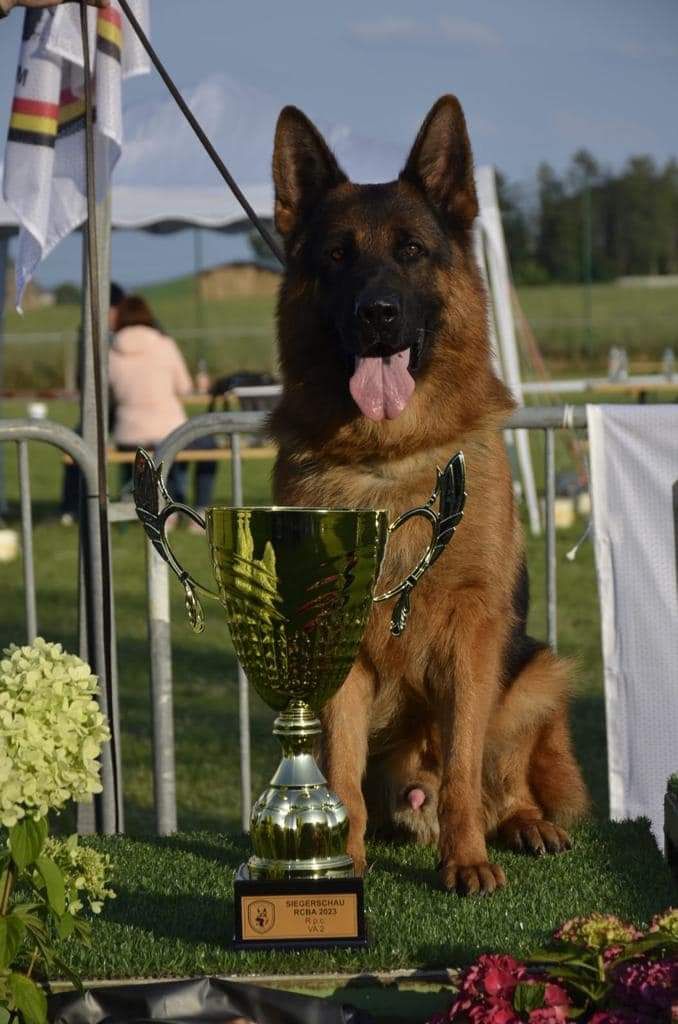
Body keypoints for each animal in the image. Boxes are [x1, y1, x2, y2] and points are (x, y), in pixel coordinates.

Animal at [268, 97, 585, 897]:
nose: (378, 314)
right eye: (338, 256)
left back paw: (522, 823)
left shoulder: (472, 639)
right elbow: (339, 772)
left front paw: (465, 859)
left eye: (411, 250)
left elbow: (467, 770)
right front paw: (339, 863)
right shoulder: (333, 647)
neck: (390, 462)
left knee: (500, 775)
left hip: (535, 673)